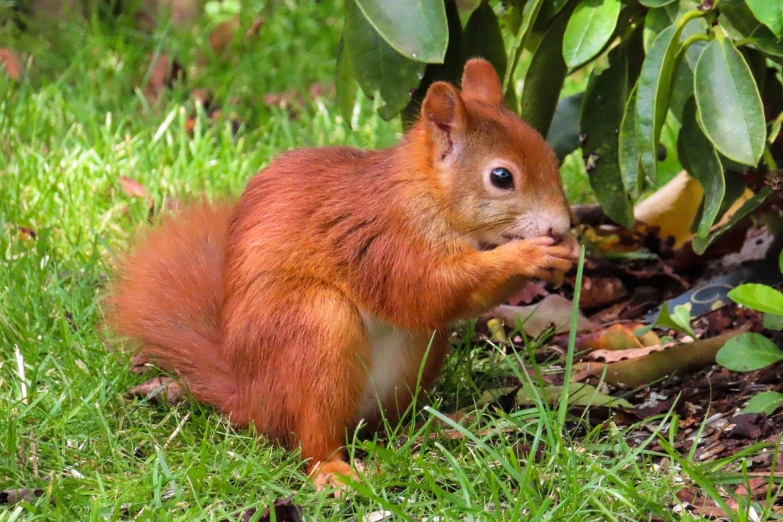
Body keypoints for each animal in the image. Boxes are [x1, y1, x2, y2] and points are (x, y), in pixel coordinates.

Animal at [107, 60, 580, 488]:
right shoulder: (385, 241)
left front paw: (567, 251)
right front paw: (526, 255)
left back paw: (433, 426)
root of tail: (249, 398)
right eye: (501, 176)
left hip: (415, 357)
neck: (426, 193)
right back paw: (334, 470)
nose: (560, 225)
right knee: (312, 438)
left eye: (549, 154)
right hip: (316, 326)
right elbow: (429, 290)